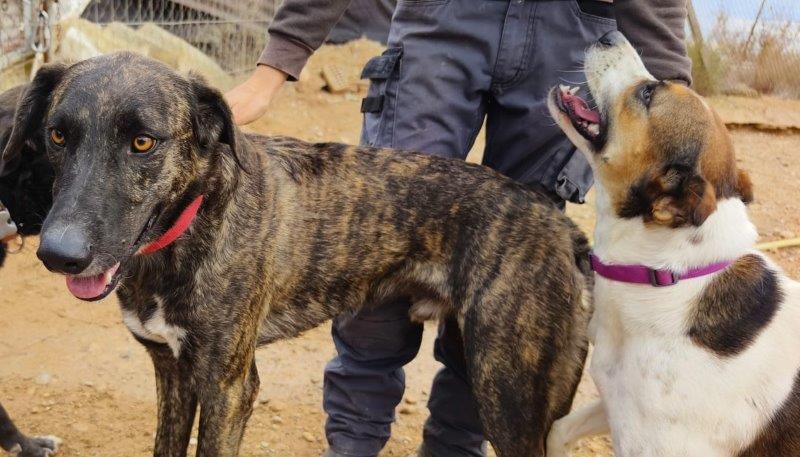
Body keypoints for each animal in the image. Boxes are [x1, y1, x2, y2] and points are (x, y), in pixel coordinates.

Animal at [2, 52, 594, 456]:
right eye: (57, 136)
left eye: (143, 142)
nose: (59, 254)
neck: (190, 228)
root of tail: (561, 226)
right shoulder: (171, 372)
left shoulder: (230, 386)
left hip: (508, 390)